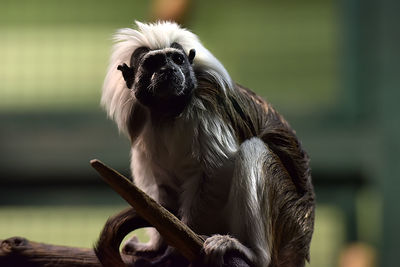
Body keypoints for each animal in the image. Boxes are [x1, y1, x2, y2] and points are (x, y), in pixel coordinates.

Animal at [95, 21, 314, 267]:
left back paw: (252, 253)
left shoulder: (206, 110)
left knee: (254, 150)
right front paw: (157, 246)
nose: (168, 70)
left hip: (288, 220)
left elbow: (215, 172)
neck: (170, 113)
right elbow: (161, 185)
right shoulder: (147, 127)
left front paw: (176, 251)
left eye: (177, 59)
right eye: (153, 64)